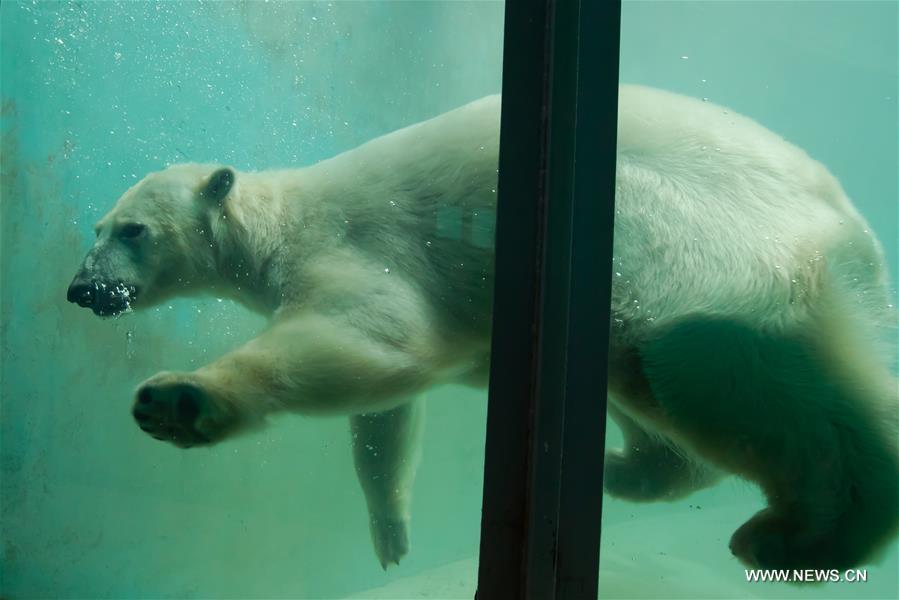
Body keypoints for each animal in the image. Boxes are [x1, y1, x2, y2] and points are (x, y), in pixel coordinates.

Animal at [67, 86, 898, 572]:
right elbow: (385, 405)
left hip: (688, 235)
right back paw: (622, 468)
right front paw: (391, 533)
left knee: (712, 360)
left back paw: (803, 532)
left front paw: (177, 400)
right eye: (98, 226)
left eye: (133, 230)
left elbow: (365, 338)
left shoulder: (356, 242)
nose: (82, 289)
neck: (280, 221)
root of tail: (854, 232)